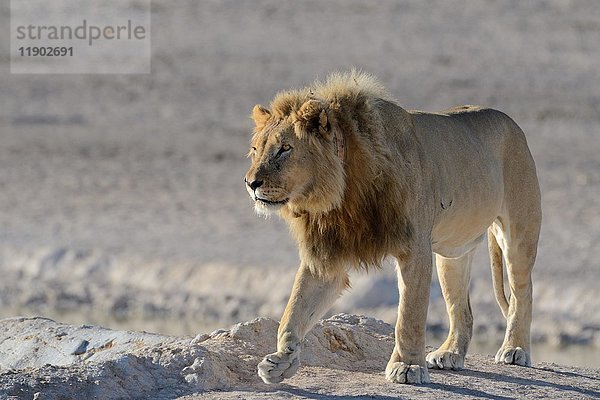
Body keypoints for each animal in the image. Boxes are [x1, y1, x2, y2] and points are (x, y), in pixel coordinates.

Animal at [241, 71, 540, 384]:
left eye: (284, 149)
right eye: (255, 149)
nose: (250, 183)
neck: (341, 195)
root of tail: (511, 122)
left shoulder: (415, 247)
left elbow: (409, 314)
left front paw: (407, 367)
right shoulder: (326, 256)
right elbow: (294, 309)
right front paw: (282, 360)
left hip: (519, 233)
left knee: (523, 291)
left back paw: (515, 349)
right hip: (453, 255)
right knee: (463, 308)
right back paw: (450, 353)